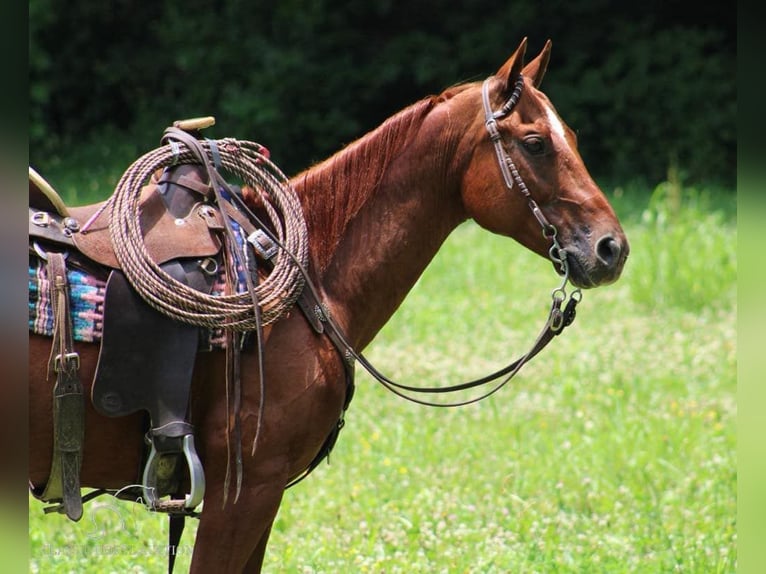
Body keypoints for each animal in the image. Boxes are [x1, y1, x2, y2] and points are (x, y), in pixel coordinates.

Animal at [30, 38, 632, 572]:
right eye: (535, 143)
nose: (612, 248)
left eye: (571, 136)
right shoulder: (243, 491)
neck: (305, 280)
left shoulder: (260, 498)